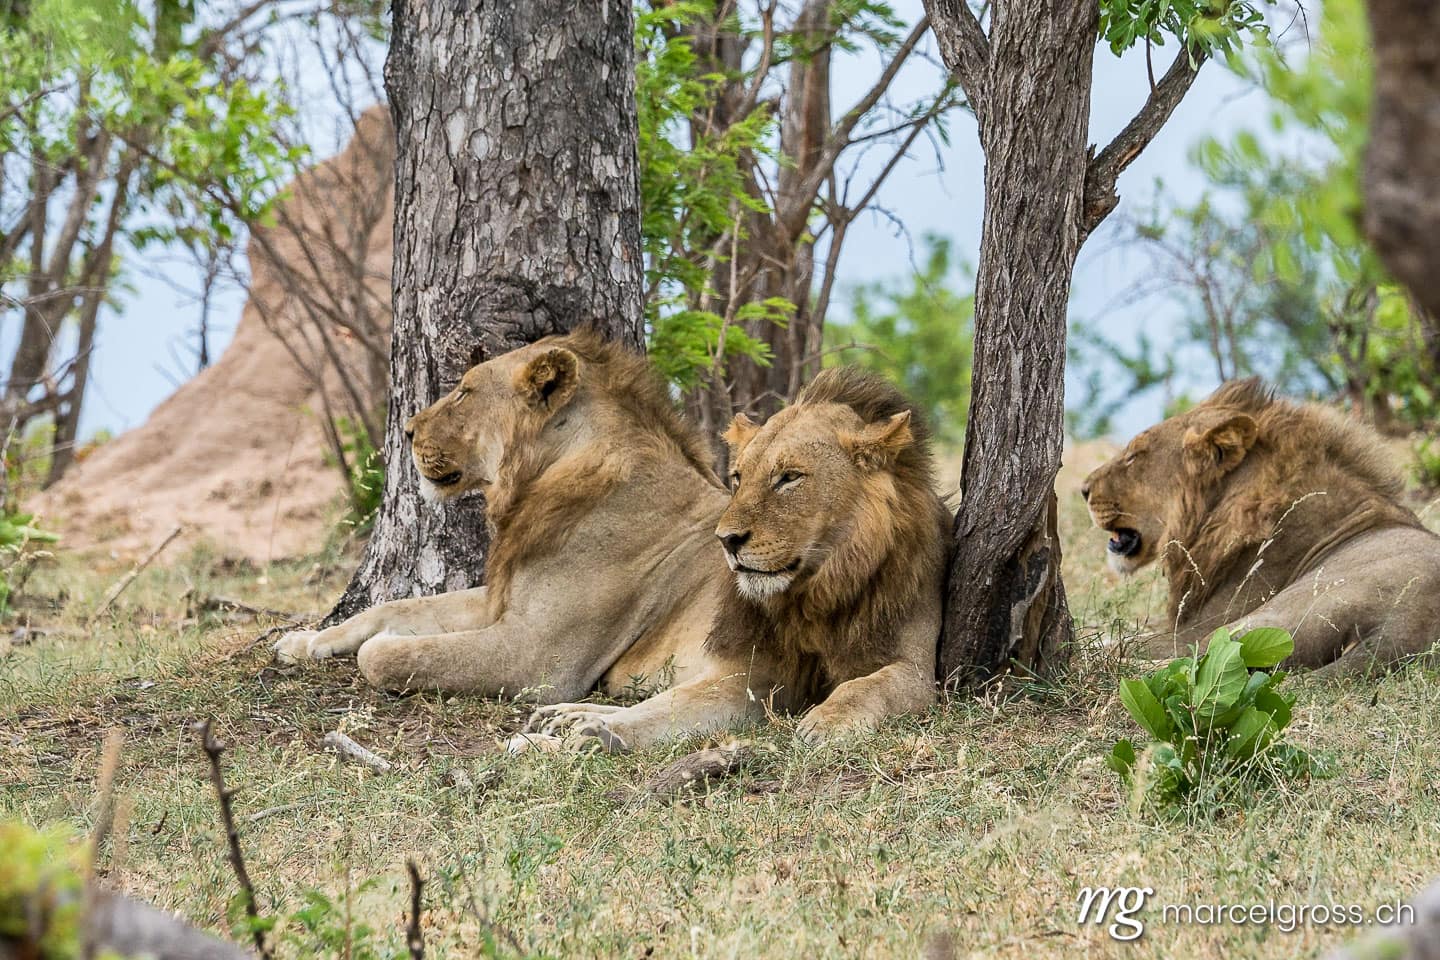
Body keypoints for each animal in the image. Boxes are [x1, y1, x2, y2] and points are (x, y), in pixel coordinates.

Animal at [273, 330, 735, 701]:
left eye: (464, 392)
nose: (406, 431)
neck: (537, 483)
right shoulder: (503, 597)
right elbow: (395, 606)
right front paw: (306, 641)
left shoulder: (536, 656)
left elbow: (384, 655)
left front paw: (392, 641)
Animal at [513, 366, 950, 752]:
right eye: (738, 477)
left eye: (789, 477)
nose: (726, 540)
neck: (821, 588)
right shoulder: (756, 676)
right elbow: (673, 707)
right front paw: (592, 734)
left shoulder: (915, 668)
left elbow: (866, 685)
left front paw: (828, 721)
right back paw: (564, 718)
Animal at [1082, 378, 1440, 675]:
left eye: (1134, 456)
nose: (1083, 489)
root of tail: (1397, 631)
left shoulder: (1199, 625)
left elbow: (1132, 639)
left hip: (1264, 619)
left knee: (1189, 659)